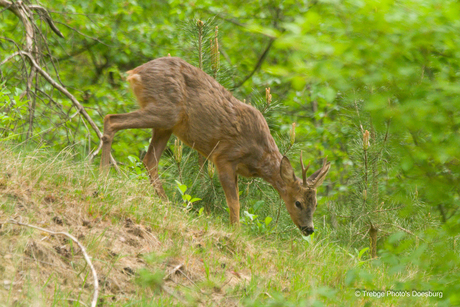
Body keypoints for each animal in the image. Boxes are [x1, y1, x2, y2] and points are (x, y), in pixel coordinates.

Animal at [100, 56, 330, 237]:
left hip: (166, 124)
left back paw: (166, 202)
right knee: (111, 119)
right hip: (164, 111)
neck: (258, 158)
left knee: (149, 160)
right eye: (298, 202)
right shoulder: (224, 157)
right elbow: (235, 202)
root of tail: (135, 72)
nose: (309, 229)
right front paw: (236, 232)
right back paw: (103, 174)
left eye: (316, 204)